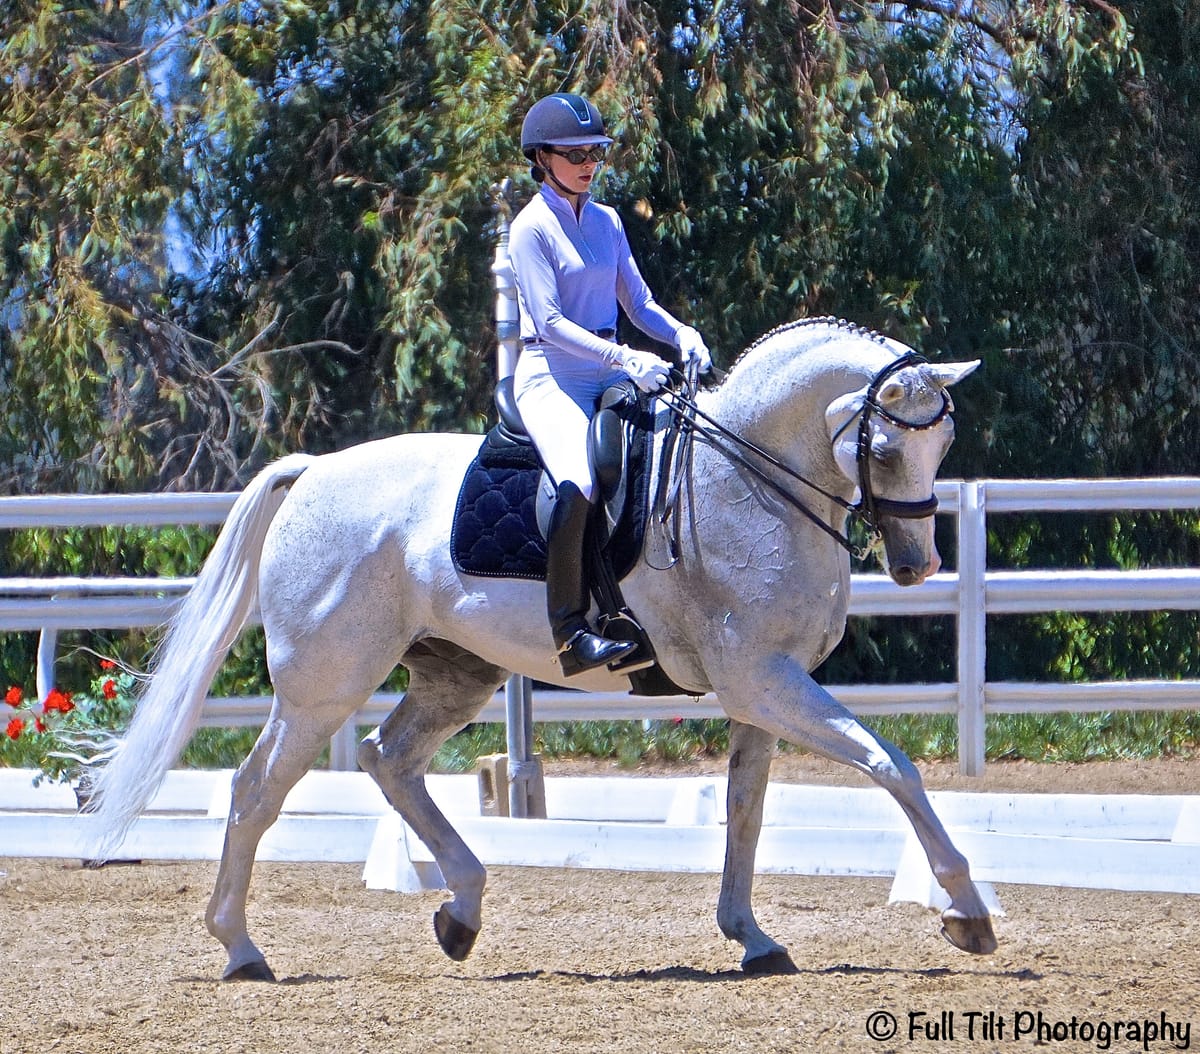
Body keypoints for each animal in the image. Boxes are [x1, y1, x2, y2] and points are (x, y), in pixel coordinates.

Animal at [85, 316, 996, 980]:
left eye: (943, 447)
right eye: (885, 449)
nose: (917, 567)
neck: (749, 482)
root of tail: (313, 474)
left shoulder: (762, 690)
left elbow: (746, 810)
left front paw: (752, 938)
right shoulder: (762, 682)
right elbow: (890, 766)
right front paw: (967, 912)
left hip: (457, 672)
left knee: (389, 759)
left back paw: (461, 912)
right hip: (324, 685)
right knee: (255, 791)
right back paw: (242, 950)